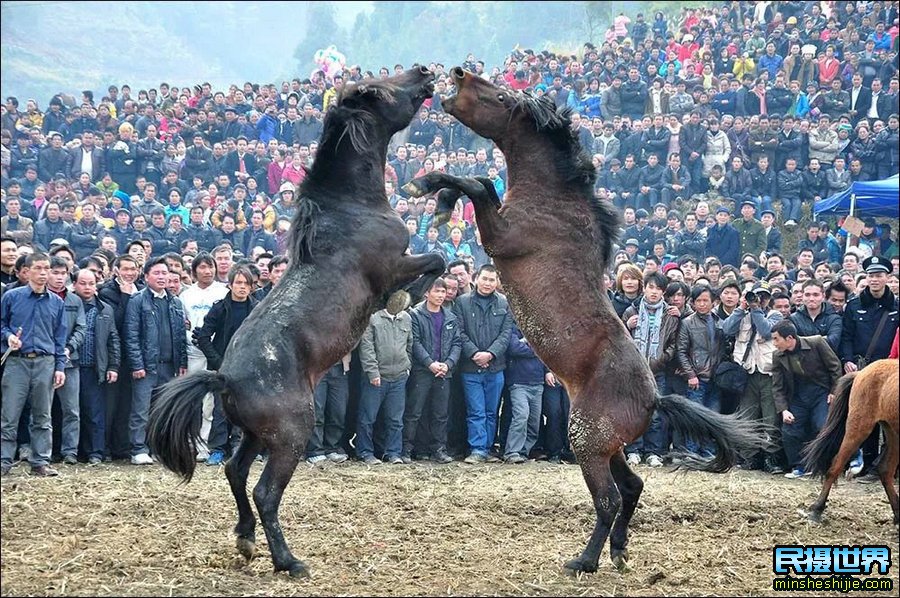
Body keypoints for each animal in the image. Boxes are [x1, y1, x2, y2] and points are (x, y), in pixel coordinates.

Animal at [147, 68, 442, 580]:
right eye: (381, 90)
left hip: (255, 434)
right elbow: (438, 260)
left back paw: (245, 540)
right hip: (290, 435)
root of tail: (224, 376)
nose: (425, 72)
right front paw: (411, 297)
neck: (352, 207)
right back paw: (287, 560)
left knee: (236, 471)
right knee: (265, 491)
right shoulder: (394, 265)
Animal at [804, 360, 896, 524]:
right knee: (835, 466)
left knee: (885, 470)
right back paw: (817, 510)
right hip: (858, 426)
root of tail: (860, 372)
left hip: (892, 431)